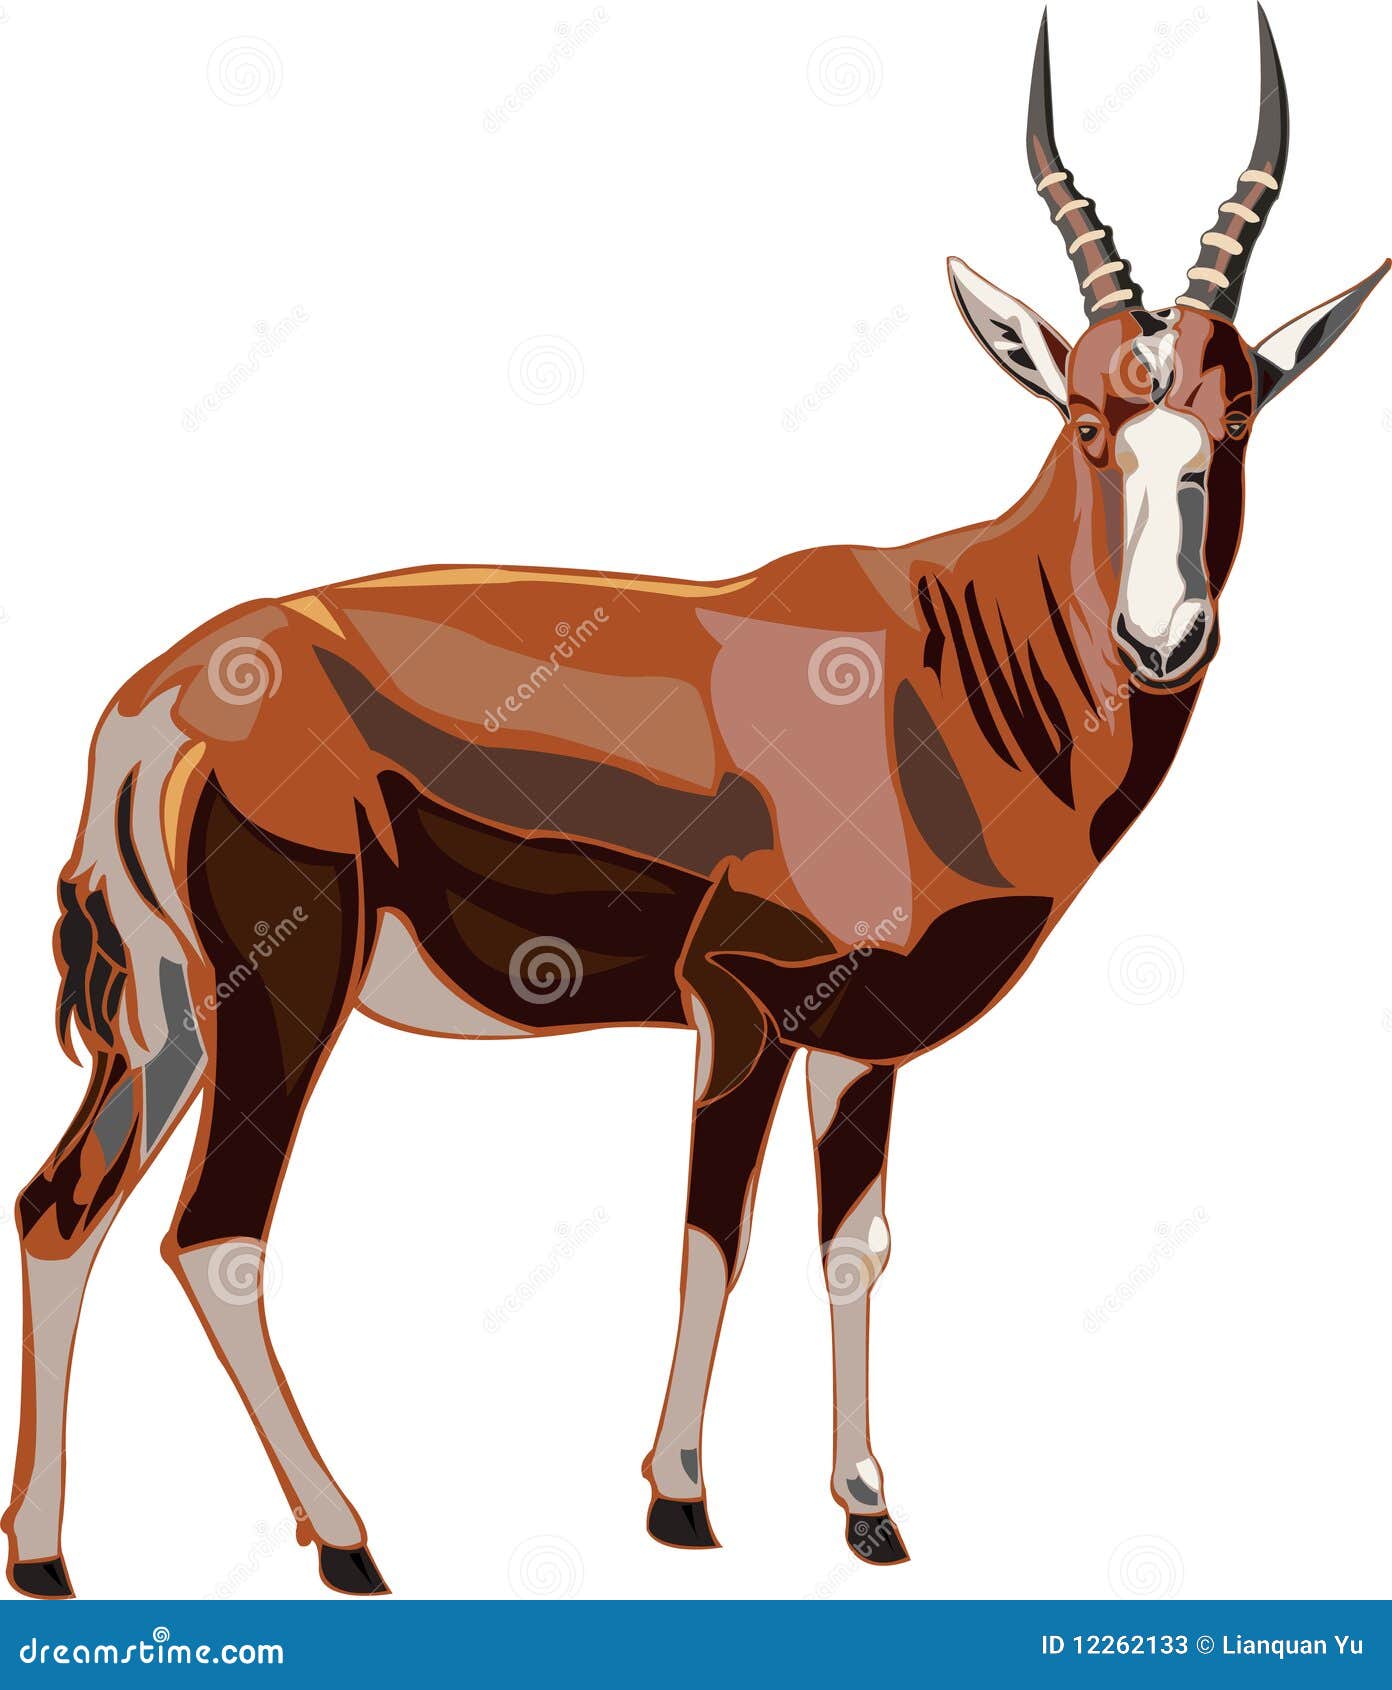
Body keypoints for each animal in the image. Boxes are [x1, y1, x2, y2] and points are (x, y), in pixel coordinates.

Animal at [6, 7, 1386, 1599]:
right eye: (1090, 420)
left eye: (1239, 417)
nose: (1167, 639)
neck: (942, 653)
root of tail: (156, 699)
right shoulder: (741, 1002)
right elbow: (711, 1230)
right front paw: (679, 1500)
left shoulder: (863, 1039)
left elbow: (854, 1245)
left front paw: (869, 1510)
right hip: (282, 993)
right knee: (215, 1237)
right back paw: (350, 1540)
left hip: (167, 1020)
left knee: (61, 1208)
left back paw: (46, 1557)